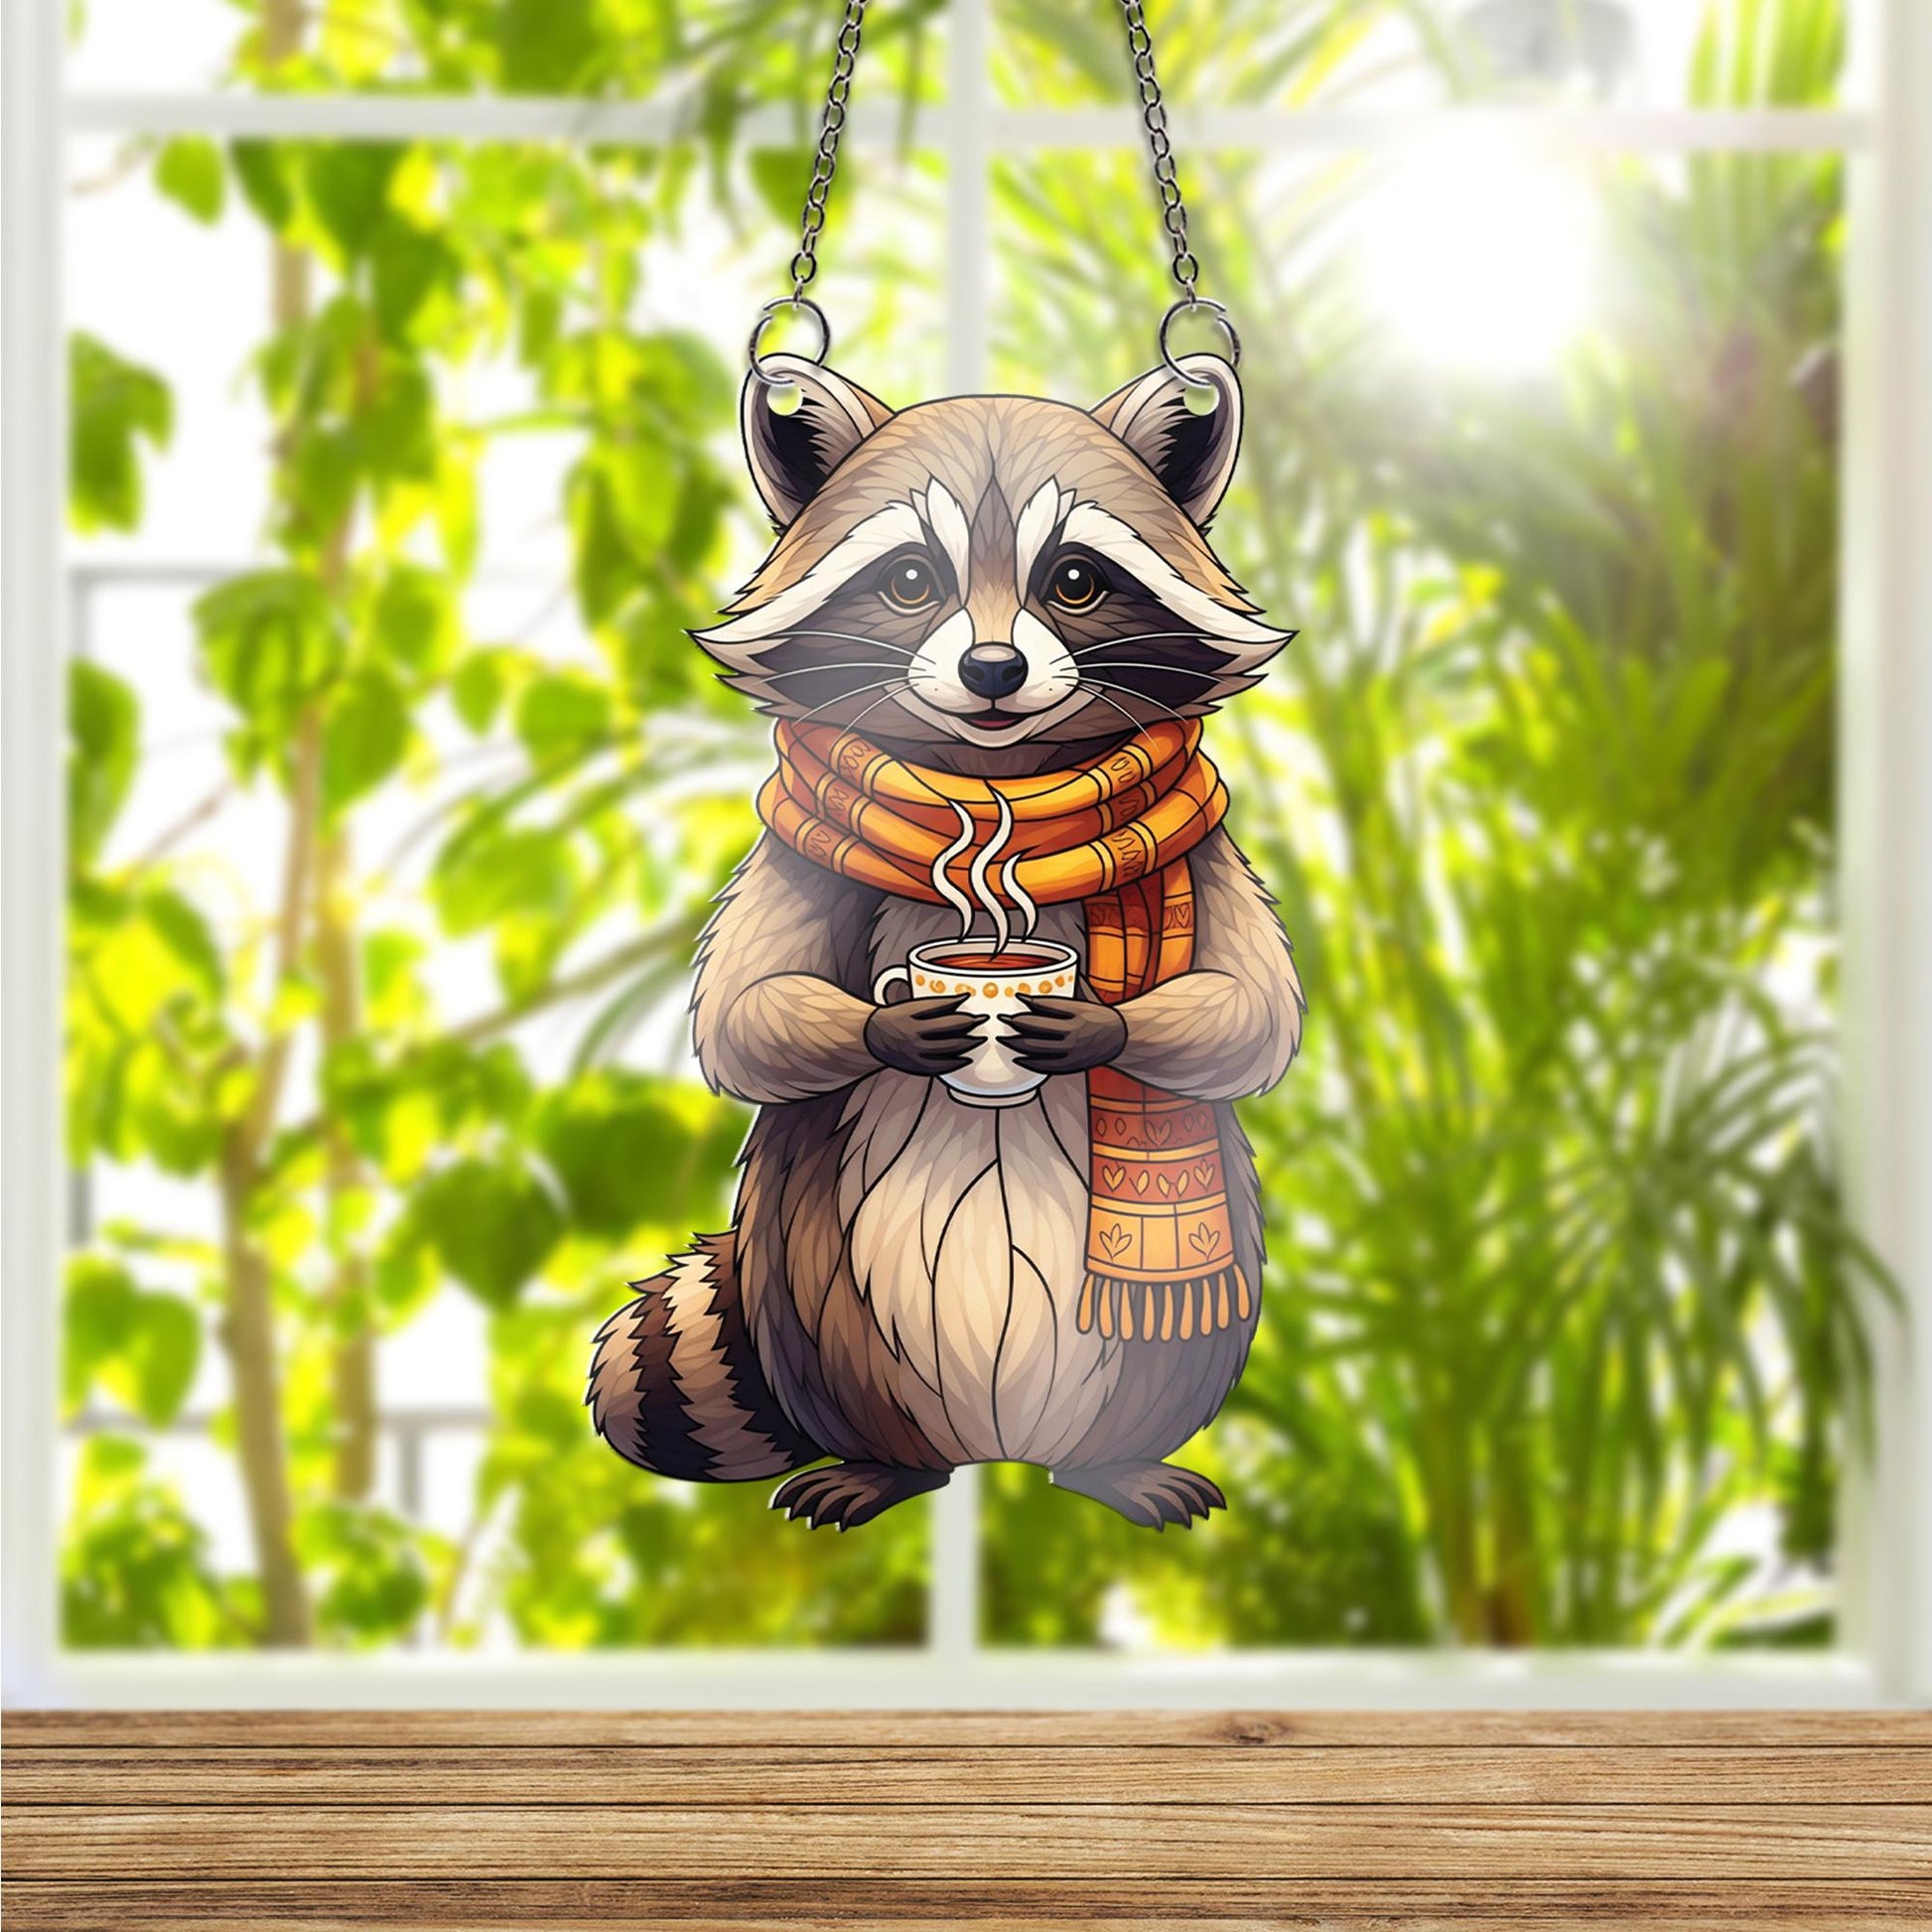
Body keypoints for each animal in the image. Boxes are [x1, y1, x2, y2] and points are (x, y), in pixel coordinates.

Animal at [588, 351, 1303, 1530]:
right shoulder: (803, 846)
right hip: (813, 1290)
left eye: (1074, 579)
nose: (993, 669)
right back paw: (884, 1463)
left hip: (1186, 1312)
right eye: (913, 580)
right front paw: (898, 1028)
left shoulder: (1203, 850)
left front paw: (1096, 1024)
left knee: (1171, 1359)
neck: (994, 797)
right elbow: (742, 1008)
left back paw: (1116, 1461)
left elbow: (1256, 1009)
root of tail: (996, 1448)